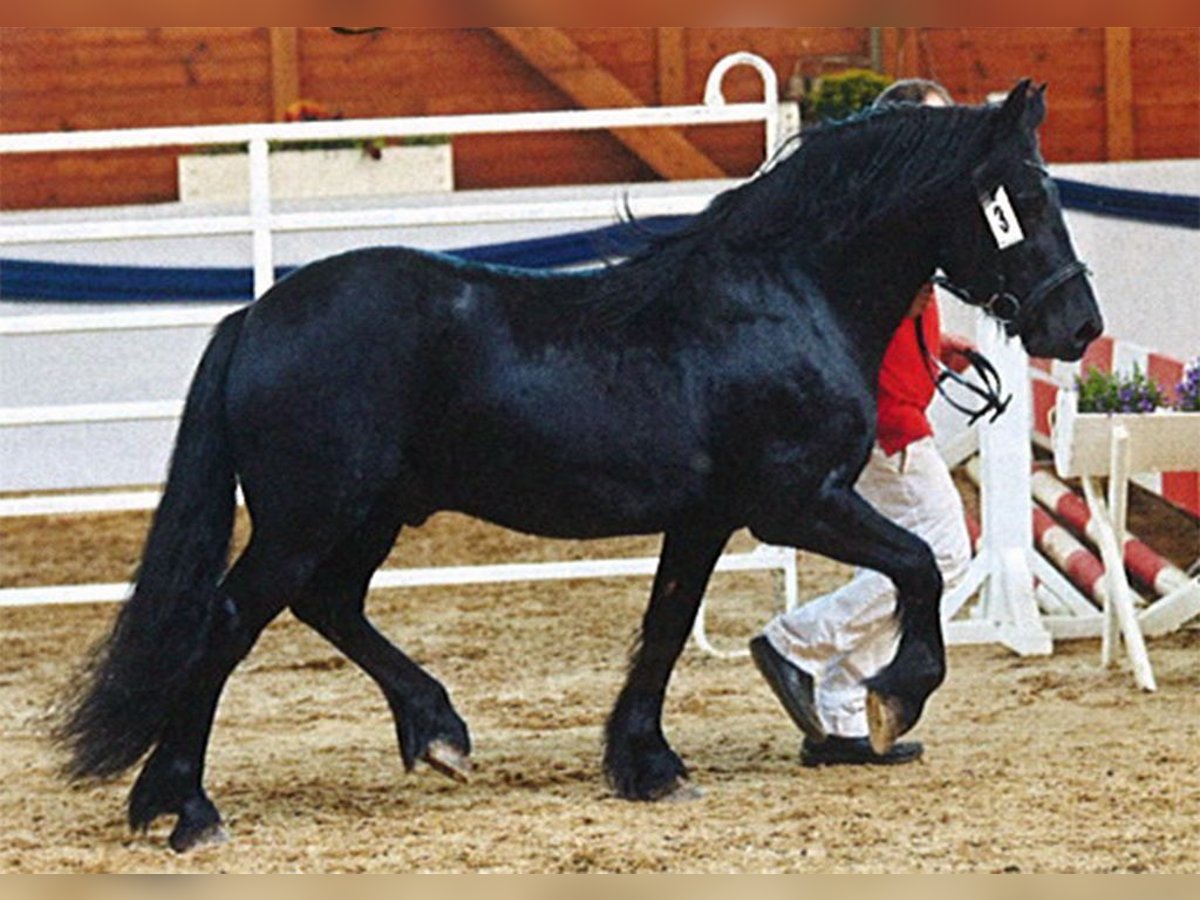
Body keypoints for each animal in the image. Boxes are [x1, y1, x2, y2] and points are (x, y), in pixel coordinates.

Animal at [60, 79, 1099, 854]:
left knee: (330, 605)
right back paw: (185, 806)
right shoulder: (795, 502)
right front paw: (893, 698)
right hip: (307, 518)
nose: (1077, 324)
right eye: (1025, 198)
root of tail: (255, 317)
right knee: (231, 620)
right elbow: (918, 567)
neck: (785, 292)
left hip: (369, 515)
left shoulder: (706, 516)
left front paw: (647, 764)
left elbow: (667, 625)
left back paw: (436, 733)